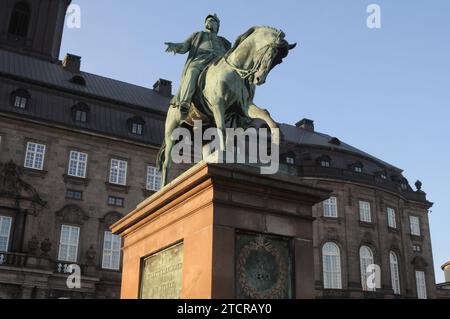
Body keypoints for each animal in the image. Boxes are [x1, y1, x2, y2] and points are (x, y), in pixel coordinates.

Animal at [156, 26, 298, 186]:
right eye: (271, 54)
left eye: (278, 62)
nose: (258, 79)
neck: (235, 71)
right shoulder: (218, 104)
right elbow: (222, 129)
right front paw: (224, 153)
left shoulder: (244, 107)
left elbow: (266, 114)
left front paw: (276, 141)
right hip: (172, 129)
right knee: (167, 161)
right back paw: (164, 187)